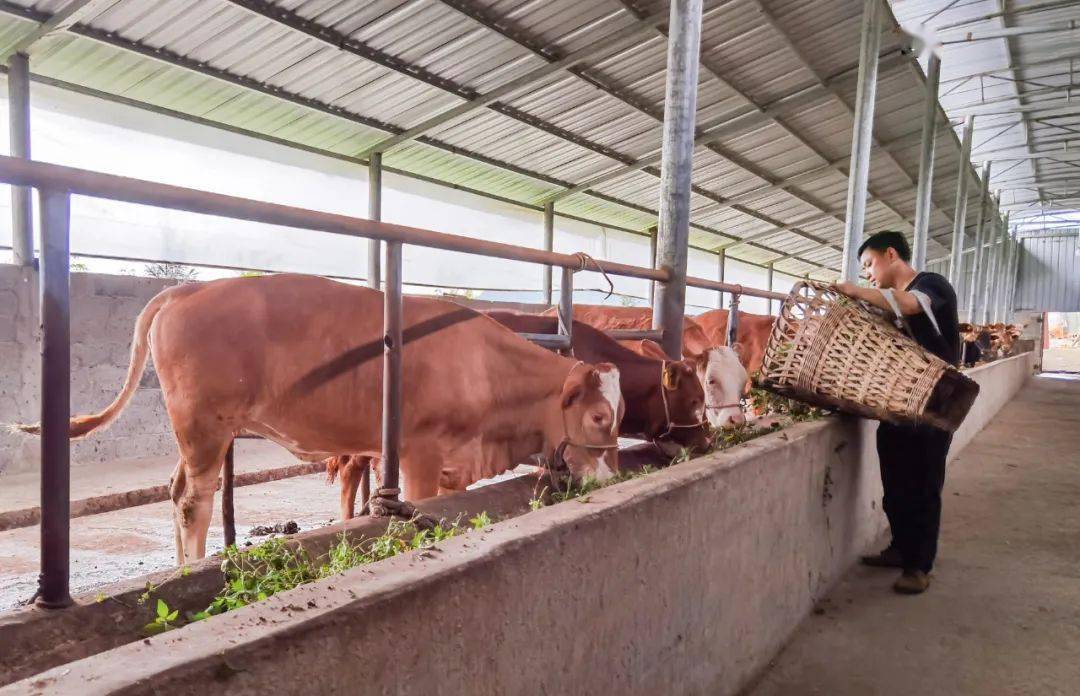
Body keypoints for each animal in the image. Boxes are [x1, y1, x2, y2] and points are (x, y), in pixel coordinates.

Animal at [12, 274, 626, 561]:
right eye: (599, 417)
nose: (613, 477)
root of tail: (191, 288)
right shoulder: (423, 454)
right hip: (204, 426)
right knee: (194, 501)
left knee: (175, 489)